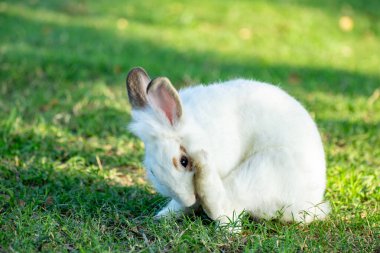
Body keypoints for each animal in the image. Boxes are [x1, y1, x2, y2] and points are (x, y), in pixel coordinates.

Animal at [126, 67, 328, 225]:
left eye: (184, 161)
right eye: (152, 171)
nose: (188, 200)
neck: (200, 129)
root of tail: (308, 205)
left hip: (264, 170)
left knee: (225, 211)